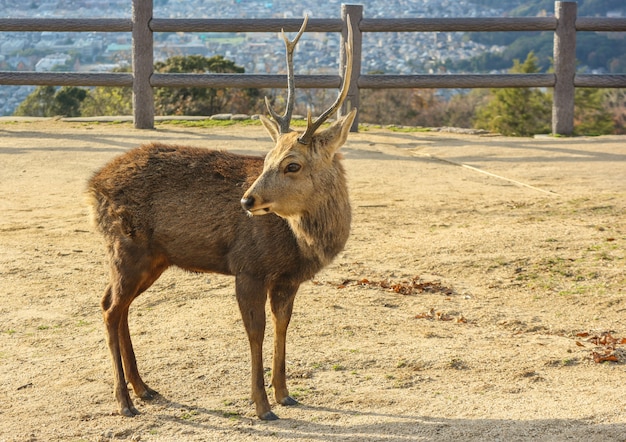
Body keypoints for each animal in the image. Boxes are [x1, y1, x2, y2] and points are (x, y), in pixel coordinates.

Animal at [86, 15, 356, 420]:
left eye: (292, 164)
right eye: (266, 158)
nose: (247, 199)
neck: (301, 244)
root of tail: (93, 186)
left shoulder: (288, 278)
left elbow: (283, 325)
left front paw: (285, 393)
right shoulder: (248, 267)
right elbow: (255, 331)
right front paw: (262, 406)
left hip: (153, 259)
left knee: (118, 307)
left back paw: (145, 389)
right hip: (126, 249)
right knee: (109, 310)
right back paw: (124, 401)